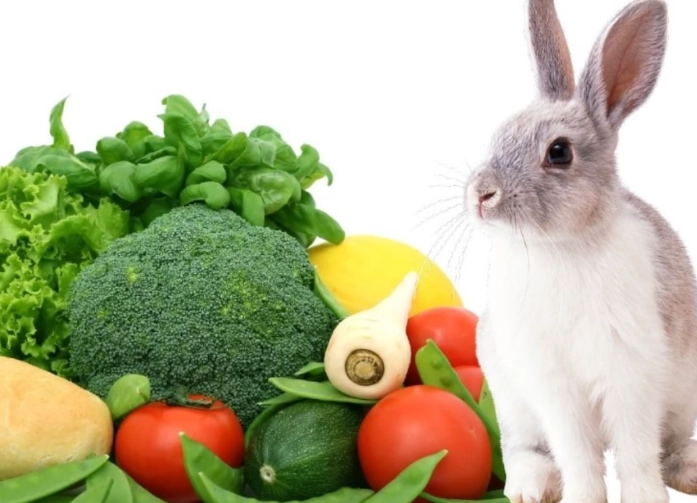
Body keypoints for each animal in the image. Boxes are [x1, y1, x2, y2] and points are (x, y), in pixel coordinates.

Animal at [463, 0, 697, 502]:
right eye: (499, 135)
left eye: (559, 152)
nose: (481, 194)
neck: (562, 246)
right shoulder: (555, 388)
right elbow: (578, 453)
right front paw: (584, 497)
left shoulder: (632, 374)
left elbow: (635, 451)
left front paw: (646, 497)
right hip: (512, 402)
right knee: (523, 448)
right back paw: (531, 487)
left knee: (668, 442)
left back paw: (689, 470)